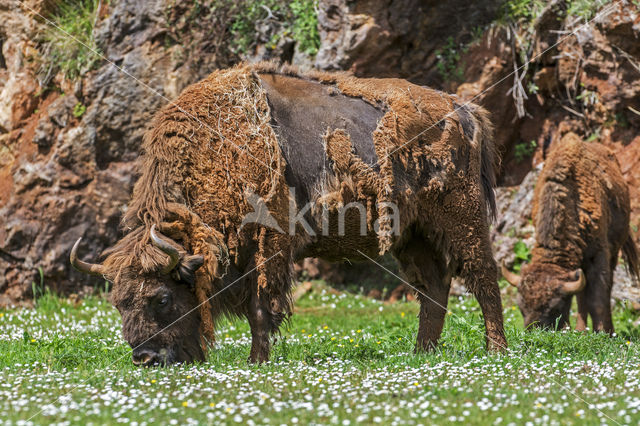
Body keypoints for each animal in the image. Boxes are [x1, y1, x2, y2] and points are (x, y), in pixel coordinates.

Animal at [70, 63, 508, 366]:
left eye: (161, 297)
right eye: (118, 303)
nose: (145, 359)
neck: (214, 151)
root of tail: (465, 110)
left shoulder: (269, 247)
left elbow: (261, 307)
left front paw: (256, 361)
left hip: (461, 217)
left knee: (483, 277)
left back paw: (495, 351)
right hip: (412, 234)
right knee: (433, 287)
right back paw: (421, 353)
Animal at [502, 131, 636, 332]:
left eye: (555, 307)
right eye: (521, 307)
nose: (534, 331)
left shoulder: (598, 255)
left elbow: (598, 299)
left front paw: (603, 332)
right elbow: (583, 299)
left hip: (613, 251)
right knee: (581, 299)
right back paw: (582, 330)